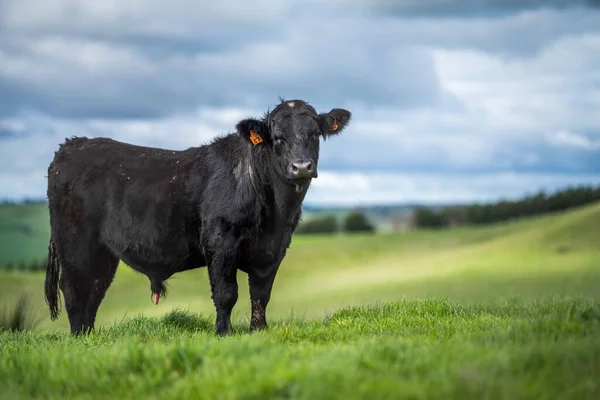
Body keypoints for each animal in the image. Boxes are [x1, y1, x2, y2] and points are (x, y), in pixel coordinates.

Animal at [45, 99, 352, 334]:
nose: (301, 166)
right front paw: (224, 332)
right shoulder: (220, 240)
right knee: (74, 288)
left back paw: (89, 335)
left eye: (314, 134)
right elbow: (226, 292)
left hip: (103, 252)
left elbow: (261, 294)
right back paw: (77, 337)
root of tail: (70, 146)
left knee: (94, 288)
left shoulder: (274, 248)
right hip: (74, 244)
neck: (275, 212)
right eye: (278, 138)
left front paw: (259, 330)